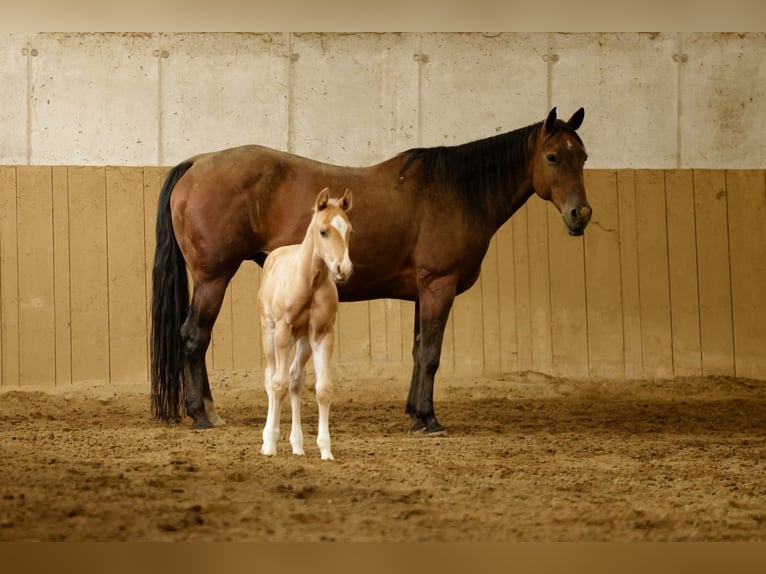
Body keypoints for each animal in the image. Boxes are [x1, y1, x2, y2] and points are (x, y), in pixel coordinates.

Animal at [258, 187, 353, 460]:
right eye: (323, 231)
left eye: (350, 231)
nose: (344, 269)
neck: (309, 281)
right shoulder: (282, 331)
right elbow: (277, 384)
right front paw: (271, 445)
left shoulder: (322, 334)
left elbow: (323, 388)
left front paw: (326, 450)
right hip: (269, 331)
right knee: (271, 377)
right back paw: (268, 440)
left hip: (304, 341)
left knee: (295, 379)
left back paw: (297, 446)